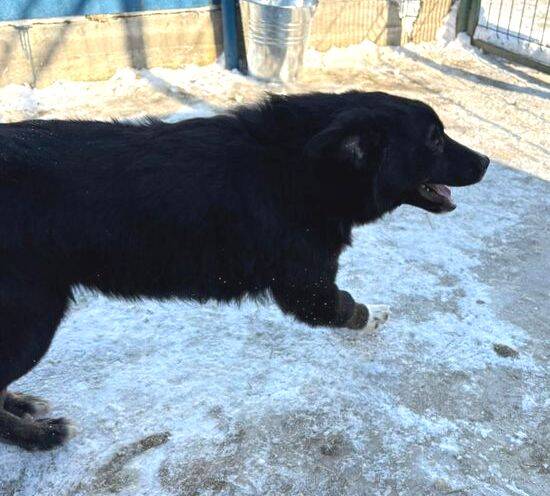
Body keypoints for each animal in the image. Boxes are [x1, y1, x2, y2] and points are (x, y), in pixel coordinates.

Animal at [0, 91, 489, 450]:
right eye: (434, 139)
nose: (486, 162)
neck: (302, 167)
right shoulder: (308, 288)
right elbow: (348, 308)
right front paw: (378, 316)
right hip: (31, 319)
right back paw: (37, 436)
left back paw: (21, 405)